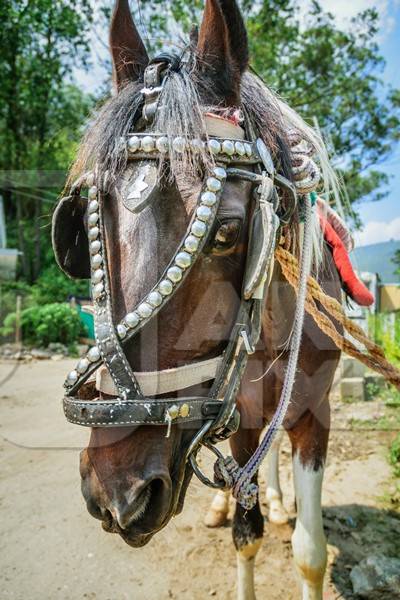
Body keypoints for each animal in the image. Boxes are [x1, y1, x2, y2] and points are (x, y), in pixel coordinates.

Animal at [52, 2, 344, 596]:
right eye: (84, 230)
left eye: (227, 232)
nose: (115, 492)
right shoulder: (239, 417)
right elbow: (246, 535)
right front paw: (239, 513)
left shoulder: (316, 416)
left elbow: (309, 553)